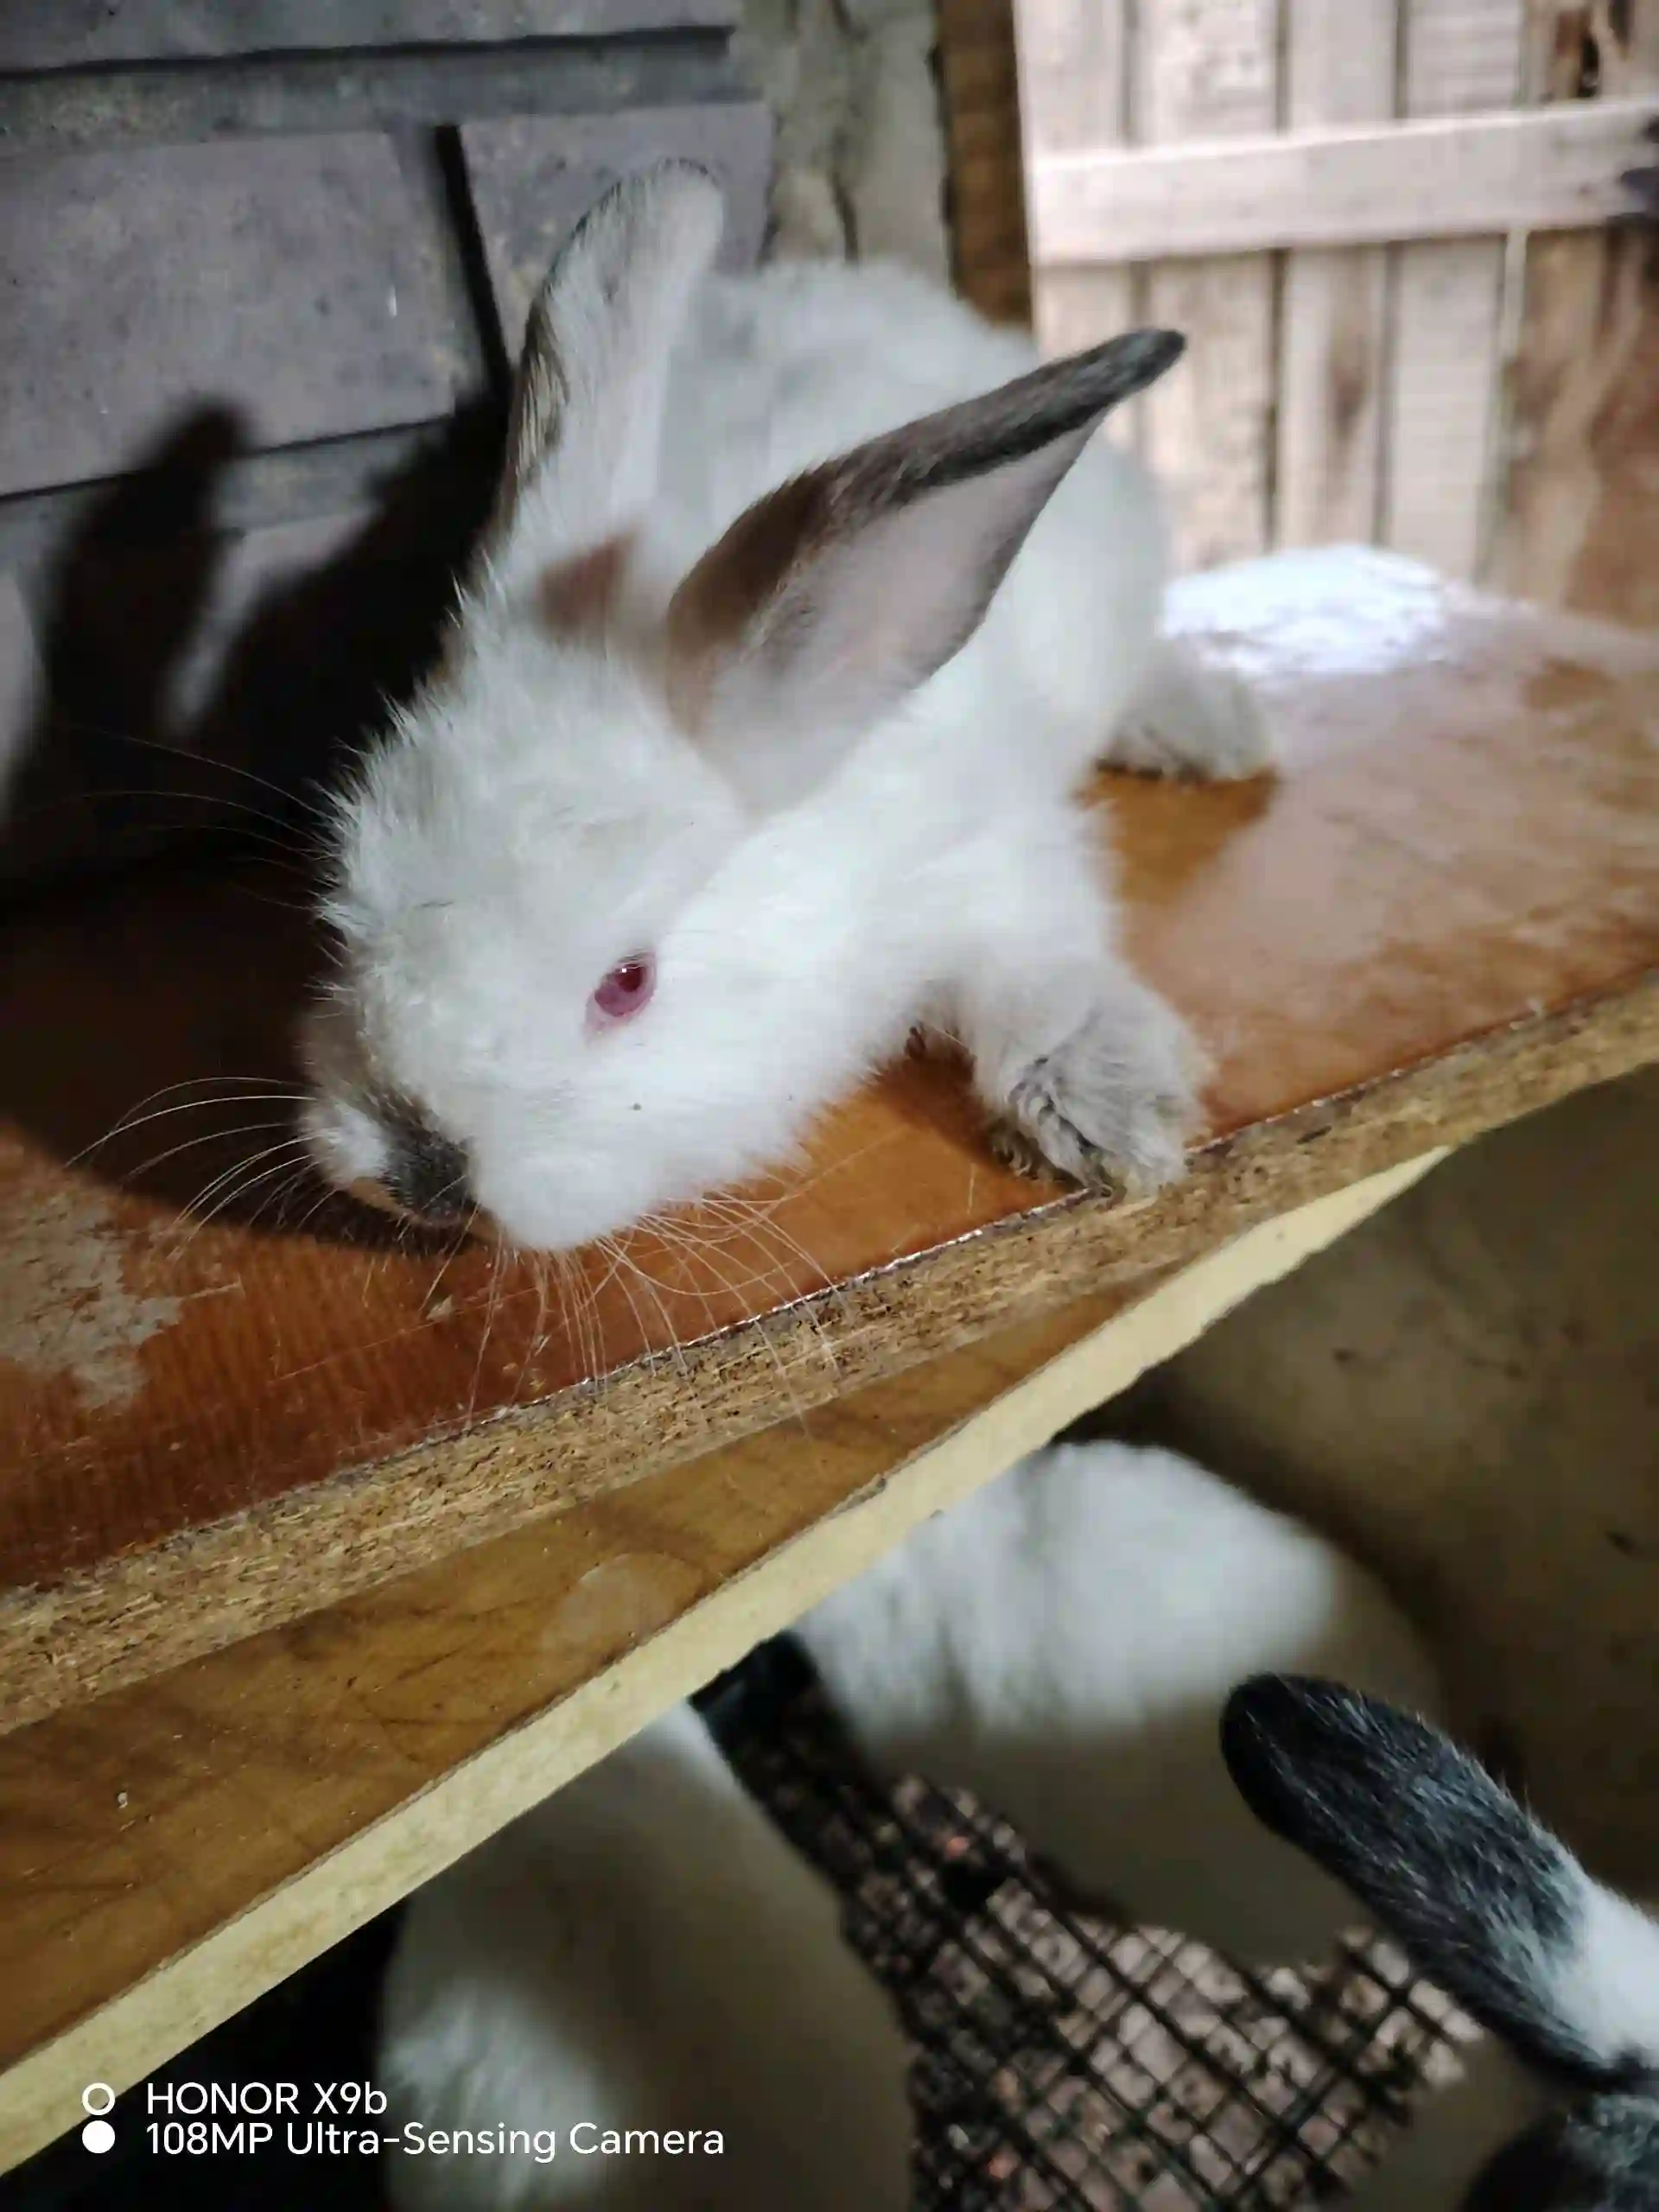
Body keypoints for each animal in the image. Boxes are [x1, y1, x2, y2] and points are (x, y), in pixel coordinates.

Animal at [298, 161, 1274, 1252]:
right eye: (345, 906)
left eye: (627, 982)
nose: (419, 1174)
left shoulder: (995, 860)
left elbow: (1044, 971)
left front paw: (1114, 1113)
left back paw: (1215, 728)